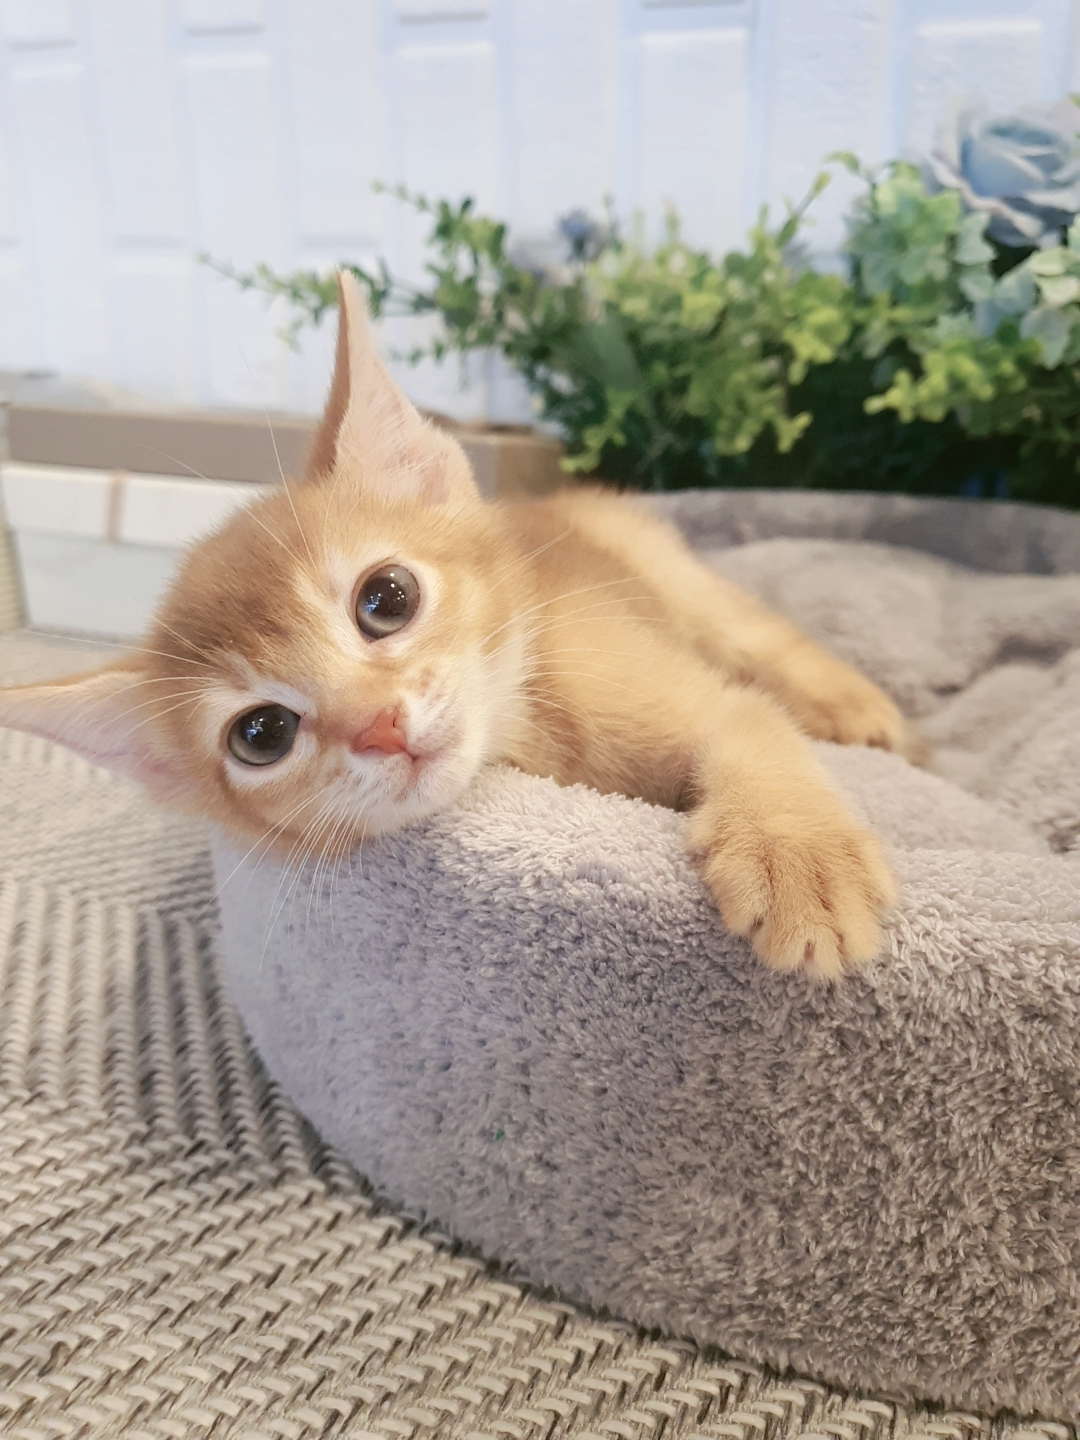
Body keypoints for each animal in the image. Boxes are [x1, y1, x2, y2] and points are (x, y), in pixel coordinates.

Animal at [0, 273, 918, 979]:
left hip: (672, 575)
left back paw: (851, 704)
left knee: (756, 635)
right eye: (260, 735)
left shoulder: (690, 695)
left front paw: (798, 859)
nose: (378, 725)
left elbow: (750, 722)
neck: (526, 731)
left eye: (387, 598)